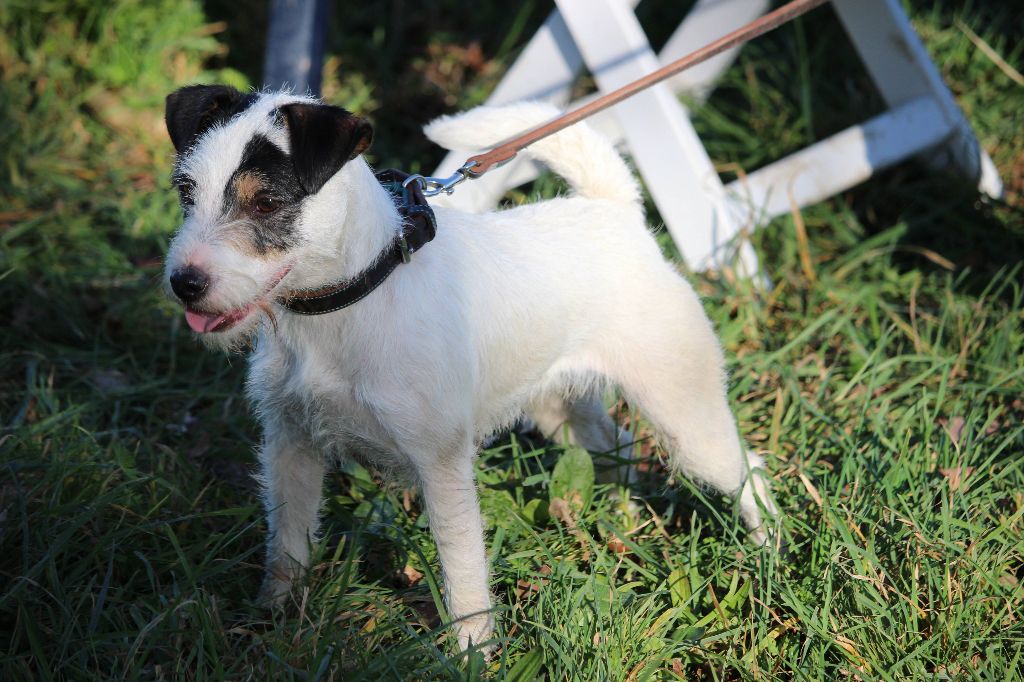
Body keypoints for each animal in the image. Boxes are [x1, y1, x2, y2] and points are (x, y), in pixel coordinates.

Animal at [161, 83, 774, 647]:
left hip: (685, 414)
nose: (184, 283)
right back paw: (623, 519)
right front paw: (272, 618)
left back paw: (768, 551)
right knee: (617, 445)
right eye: (187, 193)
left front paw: (471, 653)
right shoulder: (291, 444)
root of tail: (612, 212)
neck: (344, 303)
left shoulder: (442, 466)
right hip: (559, 409)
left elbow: (463, 573)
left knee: (746, 470)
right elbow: (287, 545)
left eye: (265, 203)